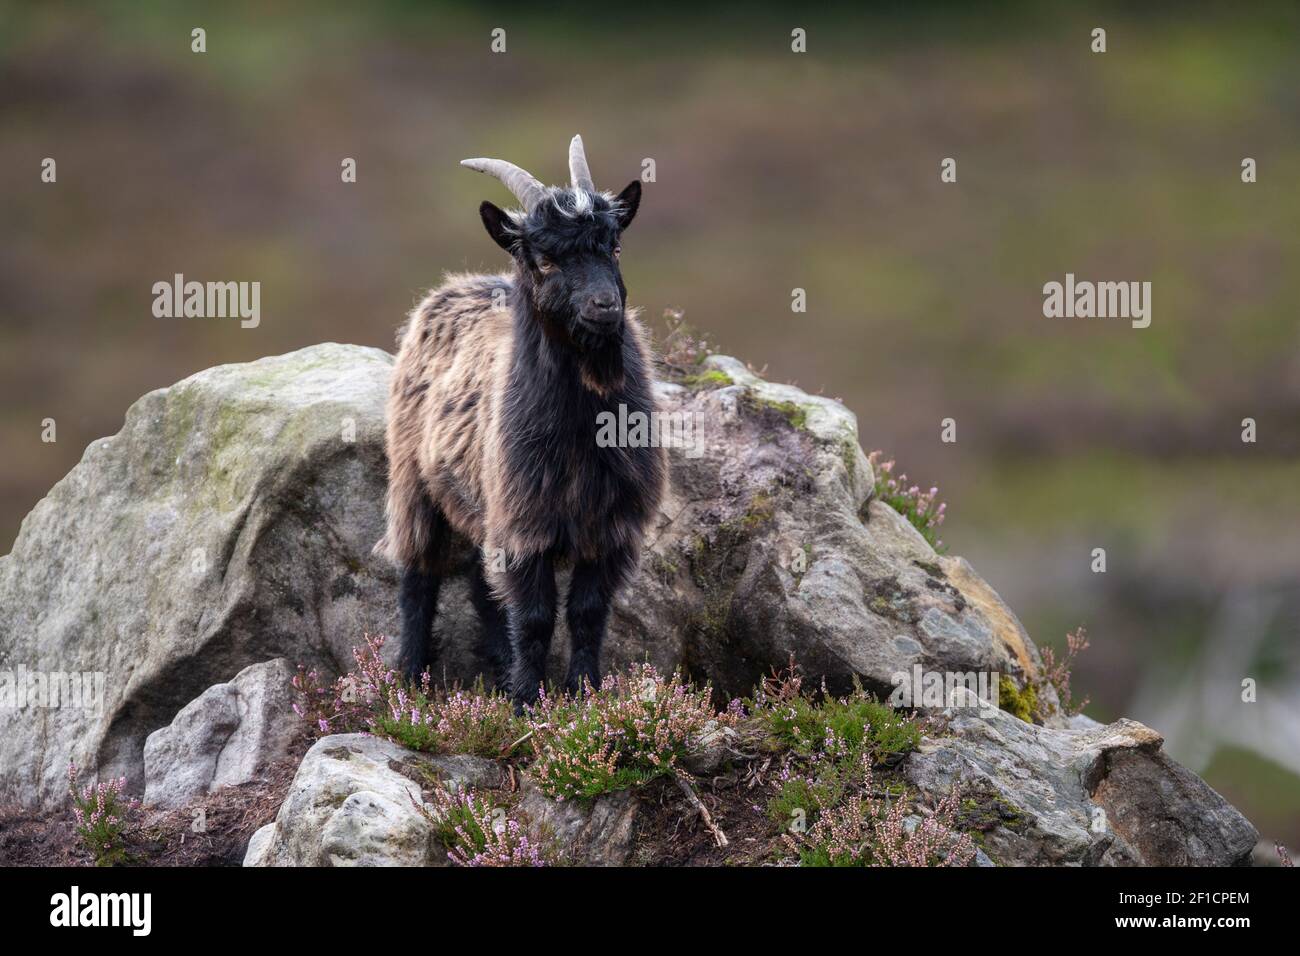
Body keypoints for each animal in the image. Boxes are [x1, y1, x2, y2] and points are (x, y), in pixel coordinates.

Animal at [374, 134, 660, 707]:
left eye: (615, 247)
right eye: (545, 258)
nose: (605, 306)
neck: (584, 428)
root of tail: (457, 285)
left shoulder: (611, 526)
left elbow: (586, 614)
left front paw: (583, 692)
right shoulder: (525, 524)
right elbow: (534, 617)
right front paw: (529, 702)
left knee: (483, 588)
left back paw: (498, 667)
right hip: (414, 482)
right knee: (418, 577)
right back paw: (410, 679)